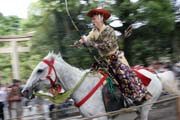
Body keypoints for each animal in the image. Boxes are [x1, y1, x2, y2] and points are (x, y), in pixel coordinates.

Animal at [21, 52, 179, 119]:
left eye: (40, 70)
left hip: (146, 106)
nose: (24, 91)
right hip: (139, 108)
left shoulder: (101, 116)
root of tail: (157, 75)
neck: (82, 88)